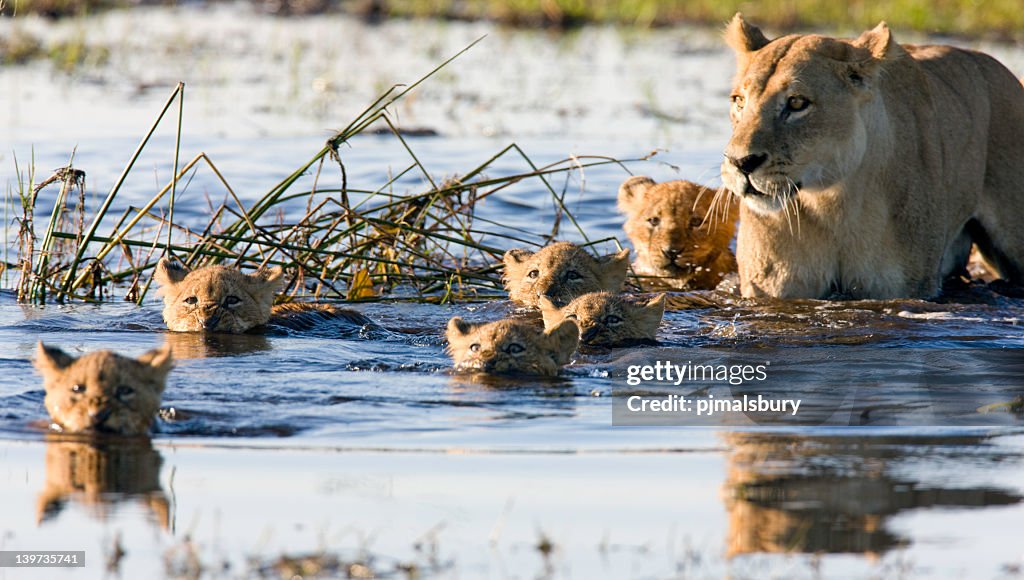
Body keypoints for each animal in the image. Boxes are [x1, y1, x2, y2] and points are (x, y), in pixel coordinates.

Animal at [721, 14, 1024, 299]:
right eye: (739, 101)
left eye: (797, 103)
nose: (740, 163)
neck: (832, 204)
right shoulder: (772, 289)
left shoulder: (906, 288)